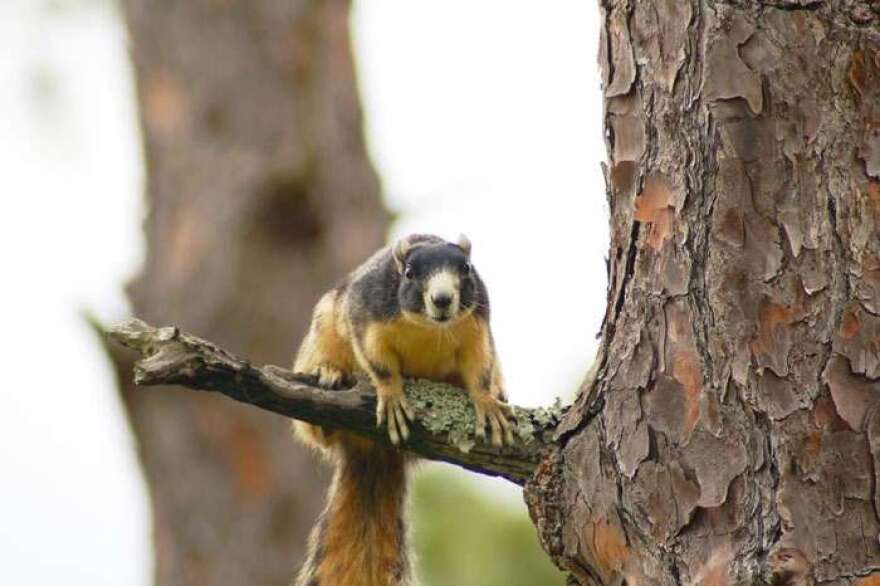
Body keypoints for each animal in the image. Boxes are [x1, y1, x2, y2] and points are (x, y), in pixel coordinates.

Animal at [292, 233, 512, 584]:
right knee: (315, 427)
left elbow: (480, 368)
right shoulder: (367, 317)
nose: (442, 299)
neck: (428, 327)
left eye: (465, 268)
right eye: (409, 273)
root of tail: (372, 451)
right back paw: (329, 375)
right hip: (323, 327)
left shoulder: (477, 326)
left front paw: (487, 401)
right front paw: (393, 396)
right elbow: (378, 362)